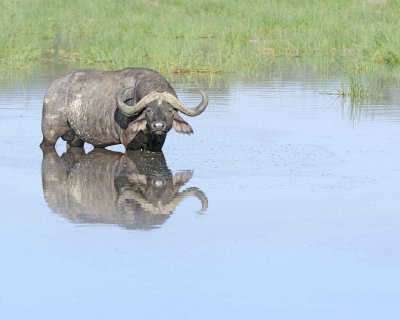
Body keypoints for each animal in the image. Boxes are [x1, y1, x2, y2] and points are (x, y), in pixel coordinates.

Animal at [40, 68, 209, 151]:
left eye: (170, 110)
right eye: (148, 110)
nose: (158, 126)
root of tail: (52, 89)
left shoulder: (158, 145)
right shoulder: (130, 144)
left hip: (76, 138)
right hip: (49, 134)